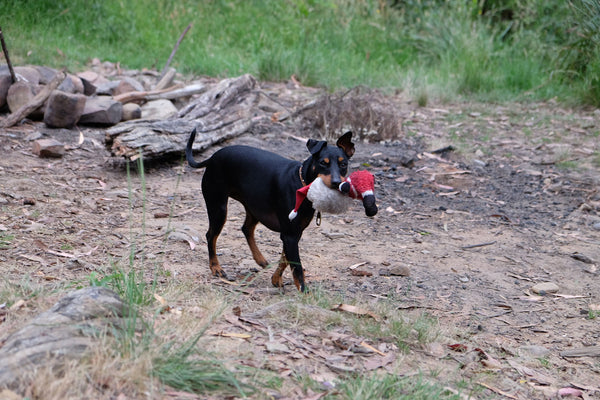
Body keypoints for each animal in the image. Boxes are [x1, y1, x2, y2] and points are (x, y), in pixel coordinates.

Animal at [188, 130, 354, 292]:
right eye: (322, 163)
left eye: (343, 164)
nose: (336, 182)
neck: (301, 184)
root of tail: (212, 157)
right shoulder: (290, 235)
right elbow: (297, 268)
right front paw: (304, 293)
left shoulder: (294, 233)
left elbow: (285, 259)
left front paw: (275, 279)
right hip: (219, 207)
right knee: (211, 236)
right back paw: (216, 267)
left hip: (254, 207)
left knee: (246, 228)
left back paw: (260, 259)